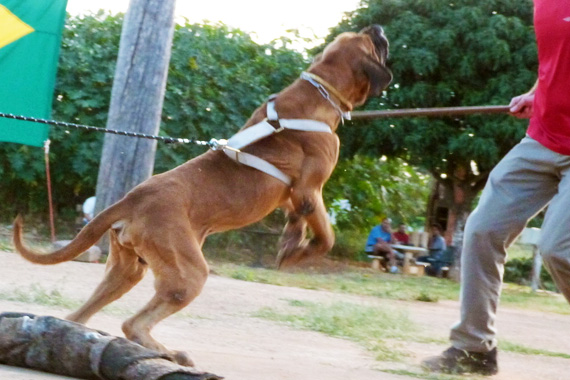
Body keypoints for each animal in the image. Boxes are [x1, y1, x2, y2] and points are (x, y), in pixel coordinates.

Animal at [12, 25, 390, 366]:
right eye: (371, 42)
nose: (377, 27)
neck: (319, 89)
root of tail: (130, 199)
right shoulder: (310, 191)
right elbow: (326, 236)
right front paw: (301, 253)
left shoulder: (292, 197)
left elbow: (297, 222)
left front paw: (289, 244)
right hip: (189, 274)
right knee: (133, 323)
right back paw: (170, 353)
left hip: (126, 271)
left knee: (79, 317)